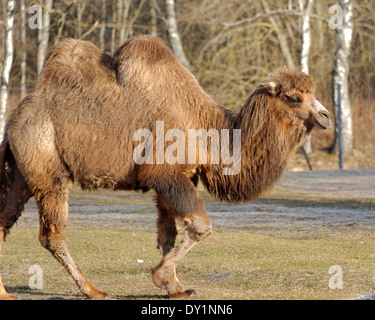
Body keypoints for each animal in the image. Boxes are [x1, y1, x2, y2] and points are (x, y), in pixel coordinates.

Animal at [0, 35, 332, 300]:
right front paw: (161, 277)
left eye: (314, 95)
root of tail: (17, 116)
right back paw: (93, 290)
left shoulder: (177, 178)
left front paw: (176, 287)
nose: (326, 116)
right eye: (295, 97)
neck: (208, 131)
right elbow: (200, 226)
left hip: (21, 174)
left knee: (6, 217)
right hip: (49, 167)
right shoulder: (165, 173)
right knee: (52, 234)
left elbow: (168, 233)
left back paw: (6, 293)